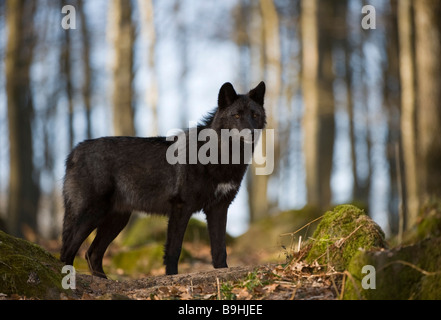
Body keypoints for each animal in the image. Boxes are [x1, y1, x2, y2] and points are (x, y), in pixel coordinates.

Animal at [58, 80, 264, 278]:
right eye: (236, 115)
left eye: (254, 115)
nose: (251, 133)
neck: (220, 156)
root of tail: (74, 151)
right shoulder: (181, 209)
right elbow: (174, 250)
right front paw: (172, 276)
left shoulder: (219, 208)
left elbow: (220, 249)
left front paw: (223, 272)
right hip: (91, 214)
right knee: (68, 251)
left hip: (117, 220)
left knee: (92, 253)